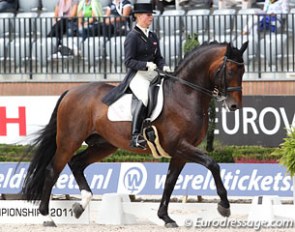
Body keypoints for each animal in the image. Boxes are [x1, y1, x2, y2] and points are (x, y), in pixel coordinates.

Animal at [22, 40, 250, 227]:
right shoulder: (180, 145)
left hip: (104, 145)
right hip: (69, 140)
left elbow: (170, 181)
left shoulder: (180, 152)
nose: (234, 106)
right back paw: (47, 217)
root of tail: (71, 91)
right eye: (230, 71)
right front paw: (224, 206)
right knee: (53, 170)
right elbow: (213, 164)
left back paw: (81, 204)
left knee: (76, 163)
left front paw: (165, 217)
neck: (185, 94)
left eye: (243, 71)